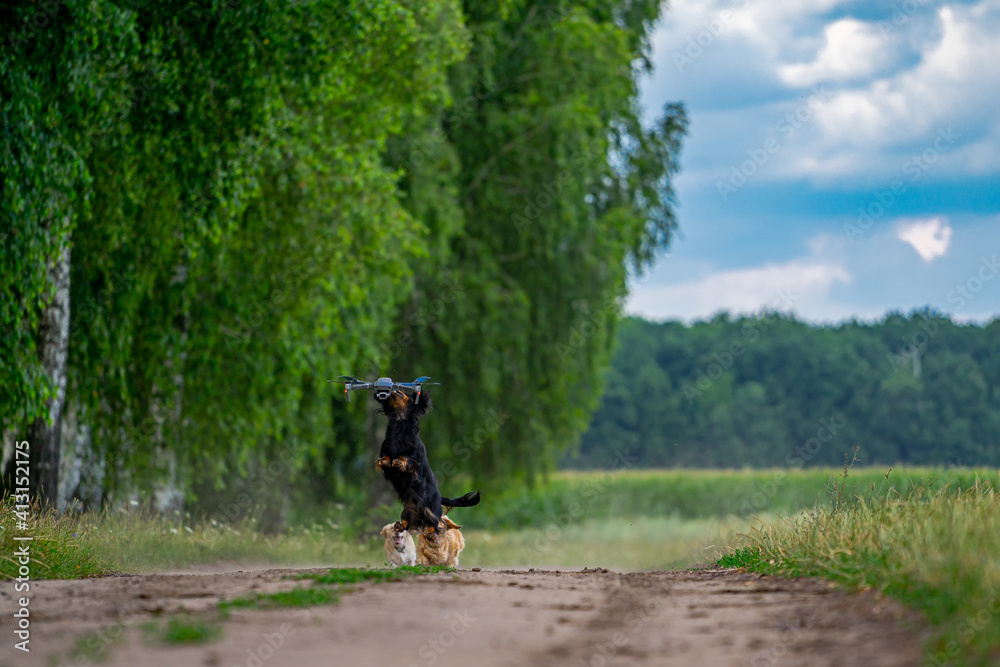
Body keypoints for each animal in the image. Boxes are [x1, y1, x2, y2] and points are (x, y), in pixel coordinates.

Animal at [376, 388, 482, 536]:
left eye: (403, 393)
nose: (394, 389)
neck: (399, 428)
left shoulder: (415, 455)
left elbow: (408, 458)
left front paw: (400, 461)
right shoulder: (386, 447)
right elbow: (385, 457)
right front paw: (384, 461)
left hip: (429, 508)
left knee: (435, 522)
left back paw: (431, 532)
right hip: (407, 510)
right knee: (407, 523)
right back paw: (399, 526)